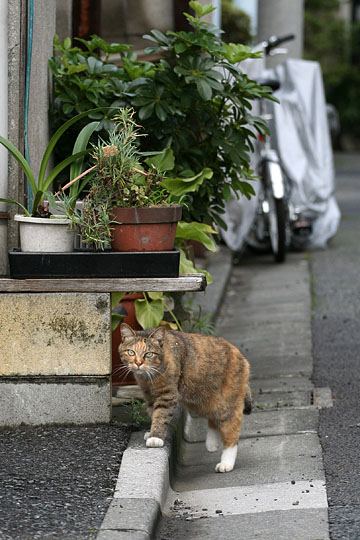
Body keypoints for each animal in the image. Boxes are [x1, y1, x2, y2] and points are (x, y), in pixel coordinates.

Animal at [119, 320, 252, 472]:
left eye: (148, 354)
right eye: (131, 352)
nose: (138, 363)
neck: (149, 377)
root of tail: (242, 357)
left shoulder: (167, 395)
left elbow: (161, 415)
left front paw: (156, 437)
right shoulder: (150, 395)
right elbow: (153, 413)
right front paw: (152, 432)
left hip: (226, 401)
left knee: (232, 427)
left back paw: (226, 462)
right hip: (203, 398)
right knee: (213, 416)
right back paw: (212, 444)